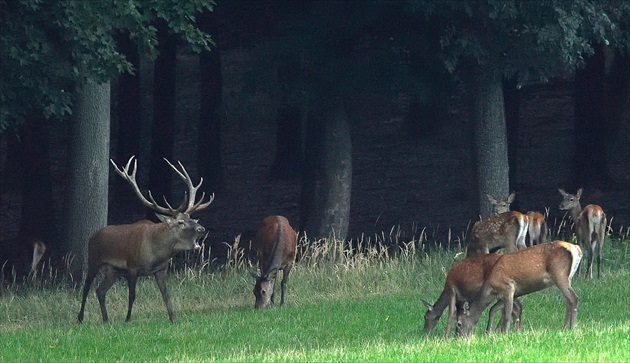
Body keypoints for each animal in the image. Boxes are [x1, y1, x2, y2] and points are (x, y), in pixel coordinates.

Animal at [77, 157, 214, 324]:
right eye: (181, 222)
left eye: (191, 218)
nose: (201, 229)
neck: (155, 253)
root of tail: (92, 237)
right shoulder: (132, 266)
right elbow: (132, 295)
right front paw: (127, 319)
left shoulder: (161, 269)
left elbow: (166, 296)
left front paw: (173, 319)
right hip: (93, 260)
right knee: (86, 288)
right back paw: (80, 318)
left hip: (112, 270)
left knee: (100, 291)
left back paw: (106, 319)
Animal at [454, 242, 584, 338]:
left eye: (459, 323)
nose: (457, 337)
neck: (491, 287)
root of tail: (576, 249)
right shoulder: (506, 295)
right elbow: (492, 310)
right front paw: (489, 333)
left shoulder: (509, 288)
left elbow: (506, 314)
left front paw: (504, 334)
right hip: (569, 277)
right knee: (568, 301)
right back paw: (564, 328)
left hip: (559, 274)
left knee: (574, 298)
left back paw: (573, 328)